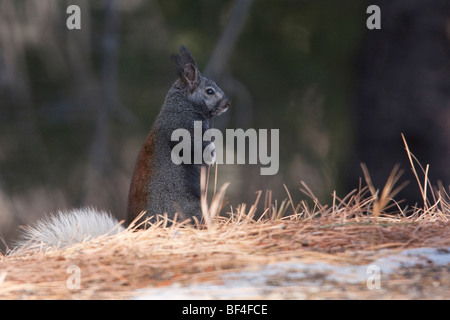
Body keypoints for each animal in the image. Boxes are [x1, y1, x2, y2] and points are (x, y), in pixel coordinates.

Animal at [14, 45, 230, 251]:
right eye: (210, 91)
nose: (227, 103)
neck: (183, 105)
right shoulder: (185, 132)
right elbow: (199, 149)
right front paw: (213, 154)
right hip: (189, 209)